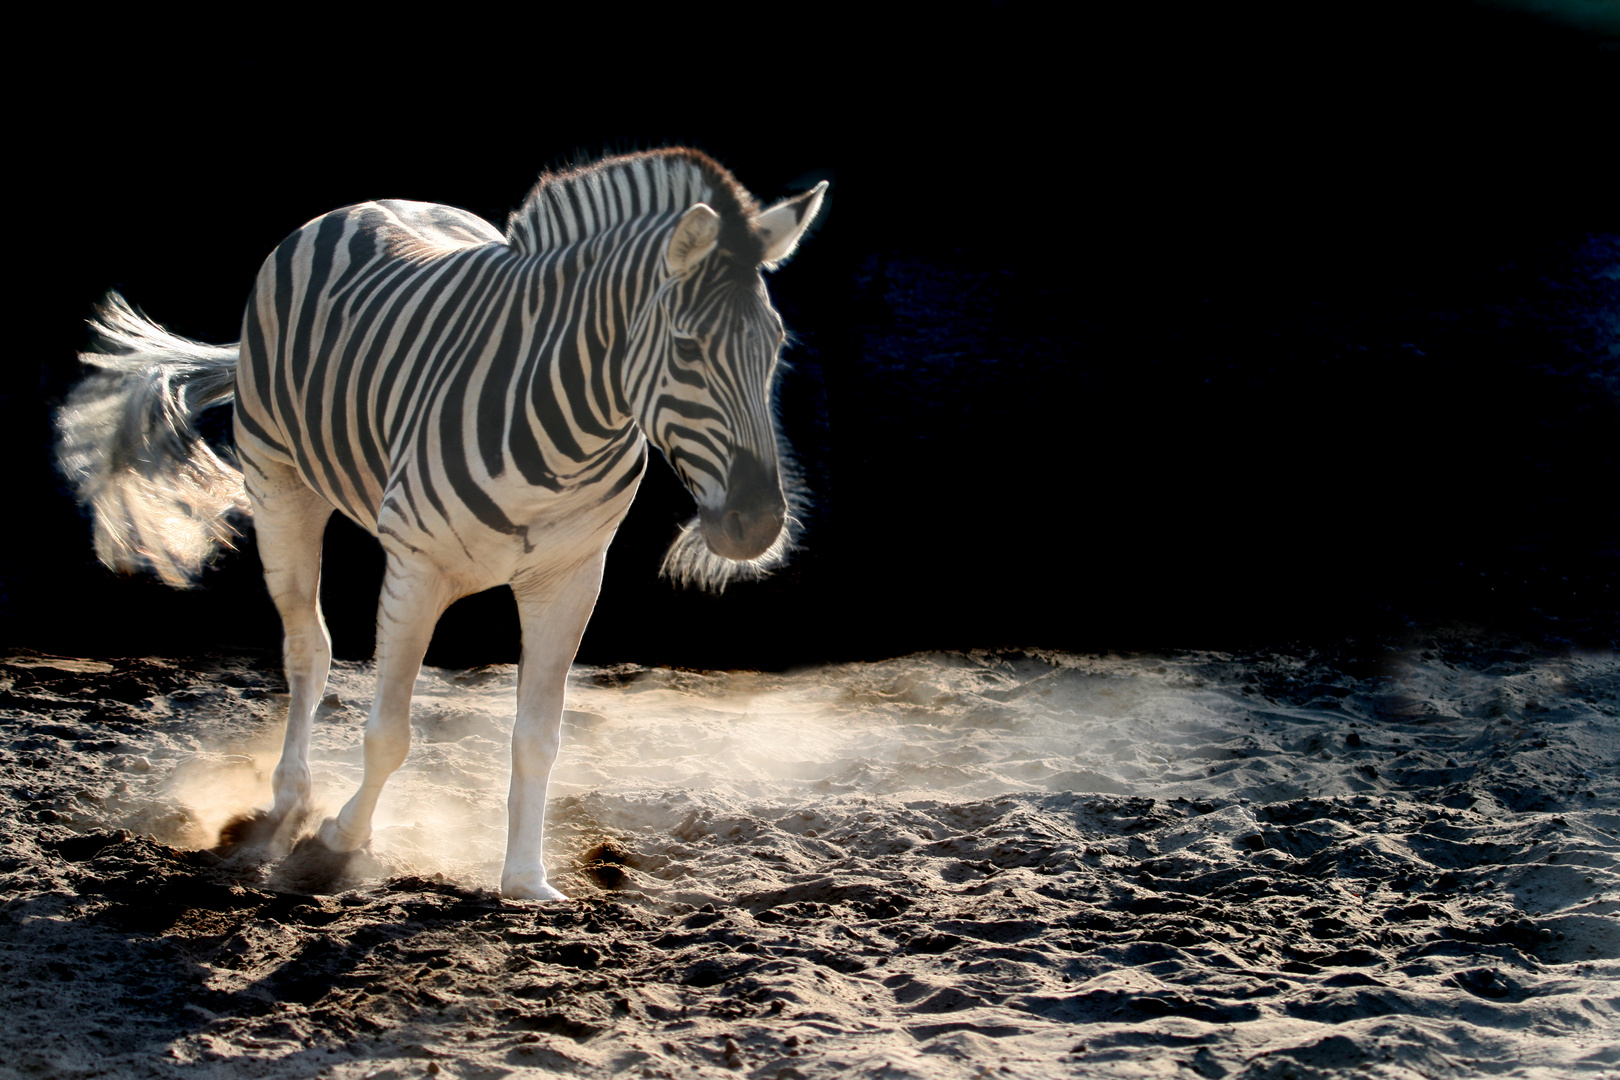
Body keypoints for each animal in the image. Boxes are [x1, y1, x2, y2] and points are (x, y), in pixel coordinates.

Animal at [57, 148, 829, 900]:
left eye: (776, 345)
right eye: (688, 349)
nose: (757, 525)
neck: (568, 437)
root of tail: (368, 202)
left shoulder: (572, 577)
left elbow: (538, 738)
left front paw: (526, 878)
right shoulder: (417, 566)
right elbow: (388, 733)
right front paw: (337, 841)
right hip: (280, 484)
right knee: (308, 648)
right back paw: (289, 802)